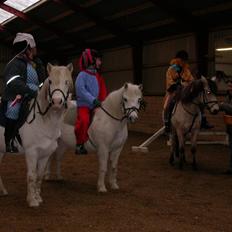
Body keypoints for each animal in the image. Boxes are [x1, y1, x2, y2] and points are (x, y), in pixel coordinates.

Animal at [0, 62, 73, 206]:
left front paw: (38, 197)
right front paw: (31, 200)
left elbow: (39, 176)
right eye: (50, 81)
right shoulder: (32, 152)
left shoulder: (45, 154)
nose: (57, 101)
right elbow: (31, 175)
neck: (43, 121)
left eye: (67, 81)